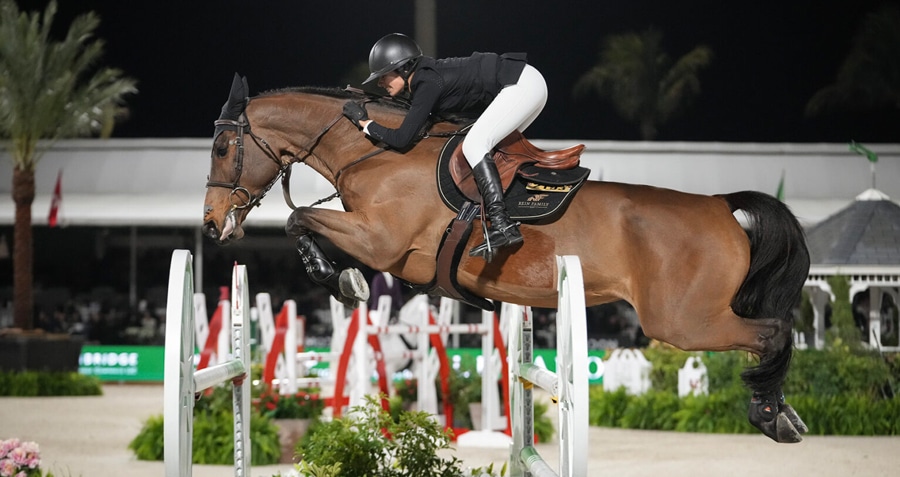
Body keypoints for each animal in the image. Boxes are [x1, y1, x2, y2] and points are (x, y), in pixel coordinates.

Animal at [202, 74, 811, 443]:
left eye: (223, 148)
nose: (211, 222)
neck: (374, 152)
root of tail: (720, 204)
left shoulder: (382, 243)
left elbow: (298, 219)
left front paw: (340, 279)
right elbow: (300, 220)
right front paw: (340, 278)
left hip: (683, 322)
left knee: (772, 332)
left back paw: (768, 413)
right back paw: (780, 412)